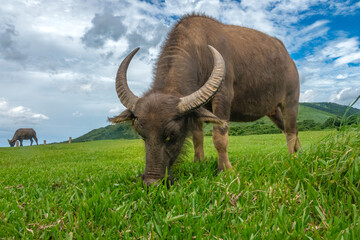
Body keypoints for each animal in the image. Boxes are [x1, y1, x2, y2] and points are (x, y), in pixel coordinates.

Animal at [109, 13, 300, 187]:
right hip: (273, 111)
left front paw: (225, 170)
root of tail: (288, 58)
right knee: (289, 129)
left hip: (291, 100)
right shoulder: (196, 110)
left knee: (291, 130)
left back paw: (292, 158)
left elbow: (219, 137)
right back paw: (298, 151)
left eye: (171, 135)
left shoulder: (223, 97)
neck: (200, 50)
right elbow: (197, 137)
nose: (151, 182)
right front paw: (198, 163)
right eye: (142, 135)